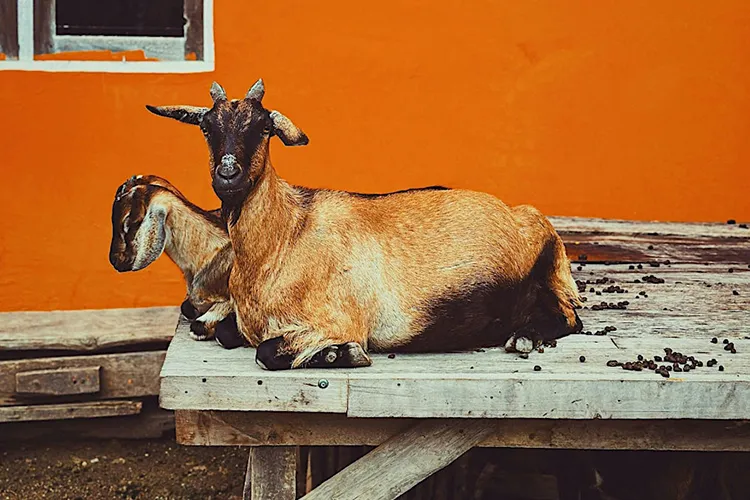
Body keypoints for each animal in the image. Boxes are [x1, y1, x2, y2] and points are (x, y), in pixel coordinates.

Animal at [146, 80, 583, 370]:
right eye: (208, 128)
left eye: (263, 128)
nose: (228, 175)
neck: (284, 238)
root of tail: (522, 215)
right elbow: (227, 333)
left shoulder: (339, 320)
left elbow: (266, 352)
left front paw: (340, 353)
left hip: (546, 281)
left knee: (569, 318)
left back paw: (523, 337)